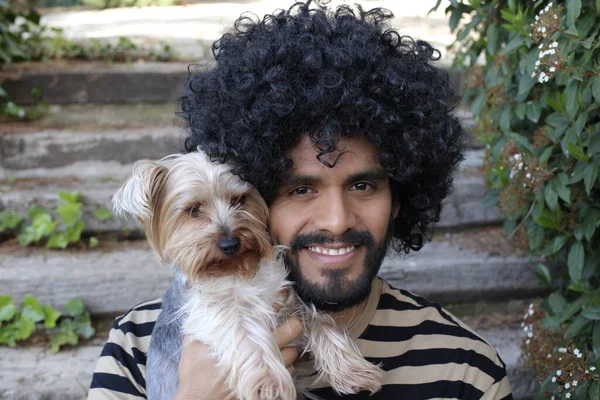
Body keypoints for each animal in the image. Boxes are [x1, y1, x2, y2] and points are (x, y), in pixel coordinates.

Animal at [113, 148, 380, 398]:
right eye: (193, 210)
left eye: (239, 199)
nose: (230, 244)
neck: (239, 271)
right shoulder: (214, 309)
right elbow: (245, 331)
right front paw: (269, 384)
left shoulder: (285, 299)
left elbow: (317, 319)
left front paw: (352, 370)